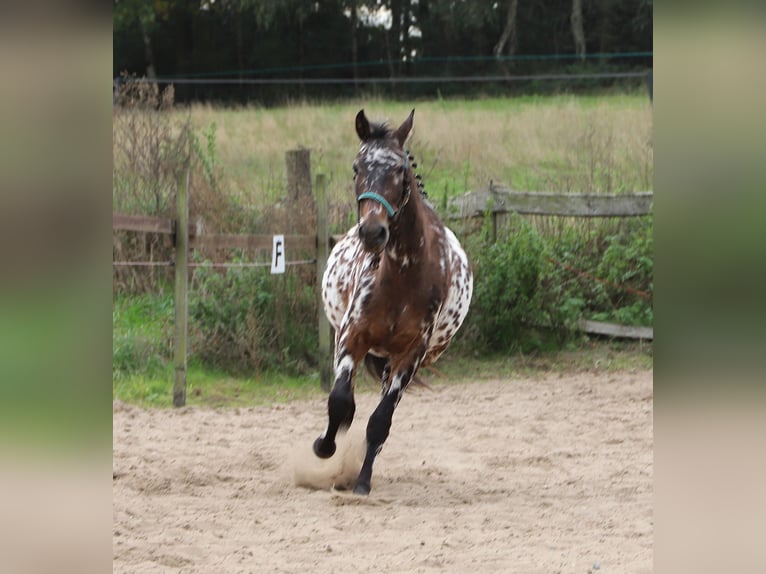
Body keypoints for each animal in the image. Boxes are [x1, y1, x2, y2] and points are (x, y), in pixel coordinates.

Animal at [312, 109, 473, 495]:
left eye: (399, 169)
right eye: (357, 167)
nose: (373, 232)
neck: (402, 274)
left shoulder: (411, 355)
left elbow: (380, 421)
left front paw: (362, 482)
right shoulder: (351, 336)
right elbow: (340, 401)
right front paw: (324, 446)